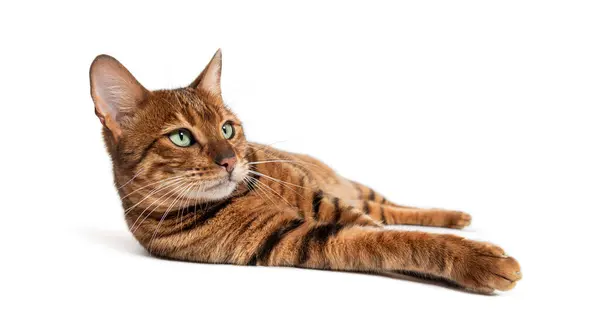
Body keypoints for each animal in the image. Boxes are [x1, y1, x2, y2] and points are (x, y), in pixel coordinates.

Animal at [88, 49, 520, 294]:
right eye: (180, 137)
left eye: (227, 129)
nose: (230, 160)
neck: (245, 192)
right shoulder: (296, 237)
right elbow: (393, 241)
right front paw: (476, 260)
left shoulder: (323, 201)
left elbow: (388, 230)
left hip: (353, 188)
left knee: (389, 207)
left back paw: (455, 217)